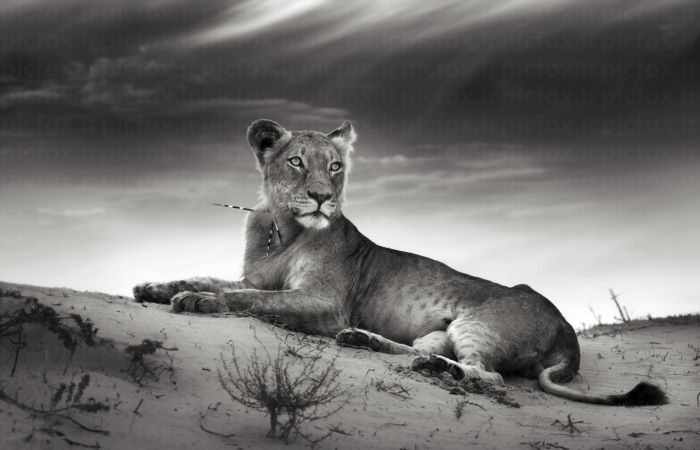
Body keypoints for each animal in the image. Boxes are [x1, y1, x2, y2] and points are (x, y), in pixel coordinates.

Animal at [134, 119, 666, 406]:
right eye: (296, 162)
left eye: (335, 166)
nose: (322, 198)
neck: (281, 228)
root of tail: (567, 330)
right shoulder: (258, 276)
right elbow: (218, 279)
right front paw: (155, 288)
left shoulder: (324, 302)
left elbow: (250, 298)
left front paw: (199, 301)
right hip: (439, 330)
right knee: (418, 350)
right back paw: (369, 342)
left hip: (478, 323)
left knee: (488, 375)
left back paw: (435, 370)